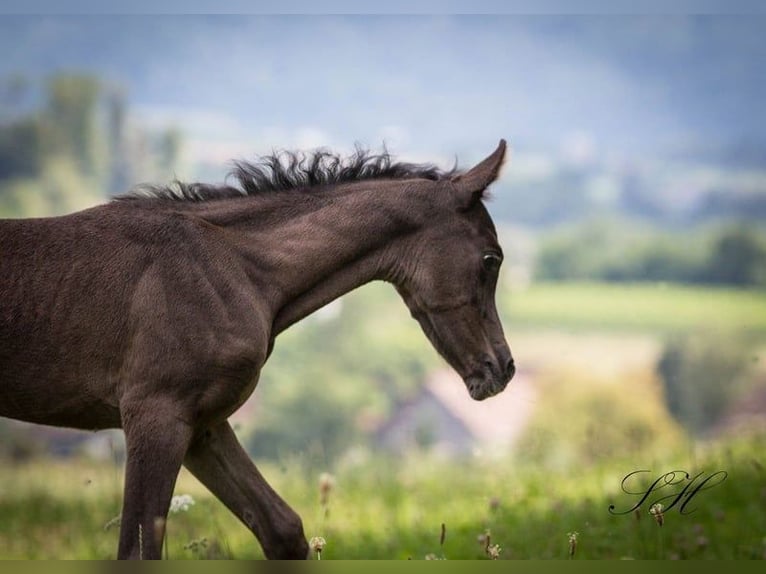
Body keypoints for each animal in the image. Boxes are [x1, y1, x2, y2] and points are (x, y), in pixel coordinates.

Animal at [0, 140, 515, 559]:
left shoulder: (201, 423)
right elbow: (138, 551)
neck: (231, 267)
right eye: (492, 258)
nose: (504, 368)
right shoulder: (155, 414)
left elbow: (282, 529)